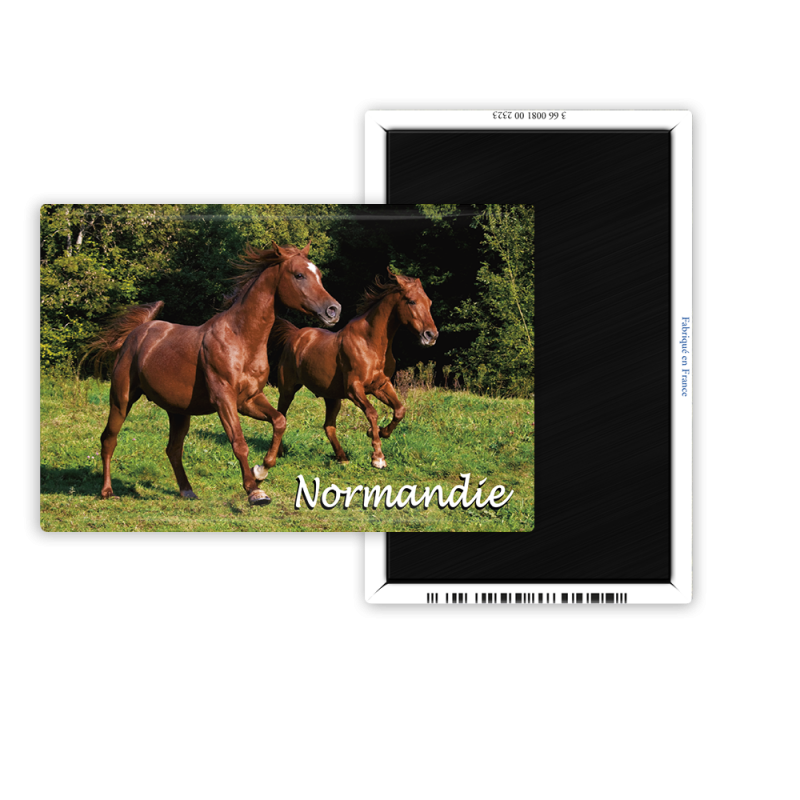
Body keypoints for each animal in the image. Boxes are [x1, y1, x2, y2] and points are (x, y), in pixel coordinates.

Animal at [88, 242, 341, 506]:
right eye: (299, 275)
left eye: (319, 274)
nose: (333, 310)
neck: (241, 339)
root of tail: (135, 333)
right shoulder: (224, 399)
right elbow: (239, 442)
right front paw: (254, 491)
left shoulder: (249, 399)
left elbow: (279, 421)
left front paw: (261, 471)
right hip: (121, 400)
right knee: (109, 439)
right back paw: (107, 491)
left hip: (178, 412)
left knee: (173, 449)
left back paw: (187, 490)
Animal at [268, 267, 438, 469]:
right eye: (411, 301)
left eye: (429, 302)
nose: (431, 335)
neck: (369, 343)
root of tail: (295, 335)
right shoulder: (354, 389)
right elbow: (372, 413)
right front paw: (378, 457)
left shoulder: (380, 386)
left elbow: (399, 410)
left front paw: (380, 432)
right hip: (288, 389)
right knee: (282, 415)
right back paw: (279, 453)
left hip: (332, 398)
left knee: (329, 426)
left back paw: (343, 458)